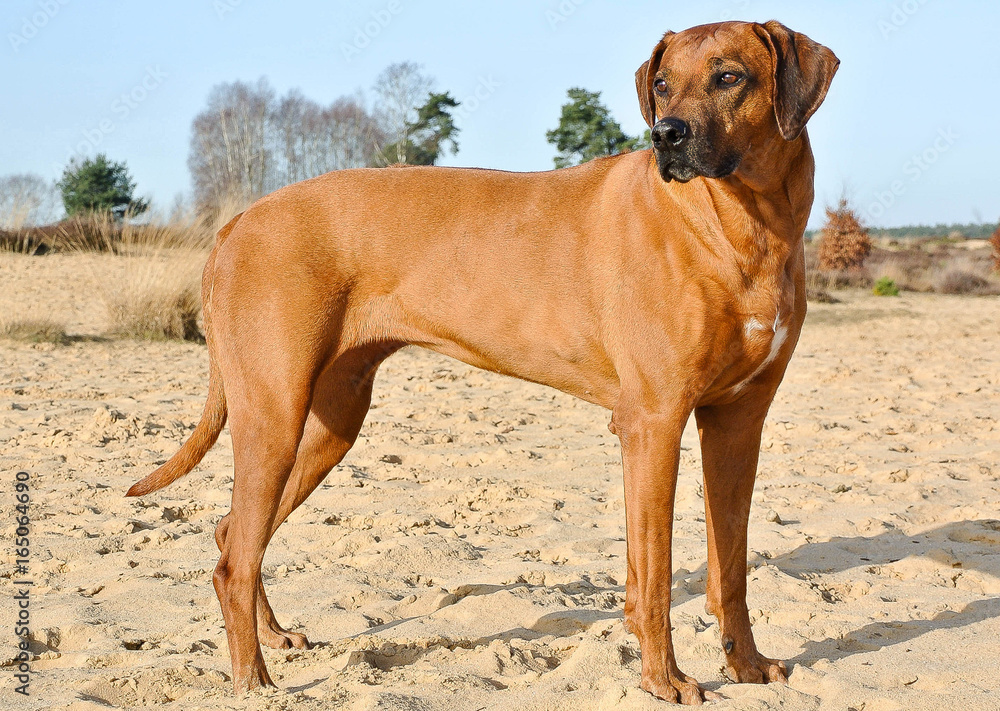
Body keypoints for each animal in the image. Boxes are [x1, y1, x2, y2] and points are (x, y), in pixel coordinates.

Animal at [129, 19, 840, 704]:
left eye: (730, 77)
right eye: (662, 84)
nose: (665, 135)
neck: (742, 225)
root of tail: (237, 220)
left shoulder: (737, 422)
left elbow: (730, 569)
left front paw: (746, 667)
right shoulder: (654, 423)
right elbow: (658, 578)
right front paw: (664, 681)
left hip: (330, 424)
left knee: (234, 535)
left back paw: (273, 637)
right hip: (273, 413)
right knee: (236, 554)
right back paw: (252, 679)